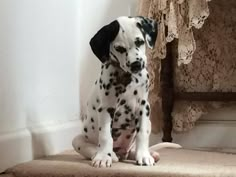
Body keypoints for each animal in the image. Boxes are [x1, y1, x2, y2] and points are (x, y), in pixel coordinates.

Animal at [72, 16, 181, 167]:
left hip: (148, 124)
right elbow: (105, 136)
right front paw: (103, 157)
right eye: (119, 48)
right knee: (90, 147)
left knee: (132, 150)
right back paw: (107, 155)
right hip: (78, 139)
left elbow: (142, 134)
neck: (128, 77)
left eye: (140, 41)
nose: (136, 64)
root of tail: (121, 153)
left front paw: (144, 156)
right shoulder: (106, 109)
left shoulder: (144, 107)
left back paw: (149, 154)